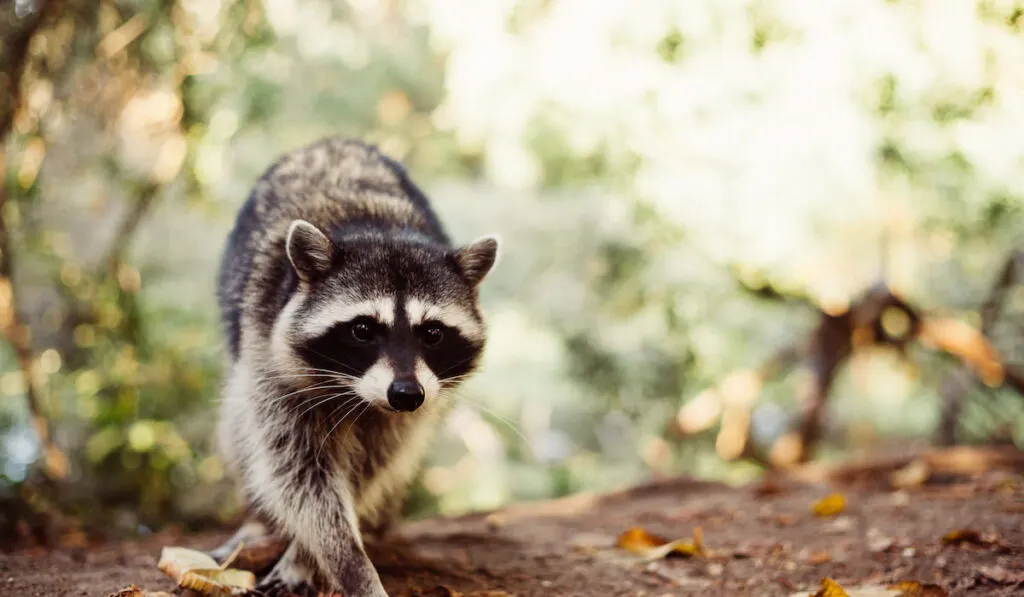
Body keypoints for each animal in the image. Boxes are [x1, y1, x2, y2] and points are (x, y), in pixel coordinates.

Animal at [209, 139, 497, 597]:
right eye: (363, 330)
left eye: (433, 333)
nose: (405, 394)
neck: (379, 230)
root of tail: (330, 141)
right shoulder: (271, 361)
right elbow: (301, 472)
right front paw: (346, 559)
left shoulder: (407, 413)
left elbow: (368, 467)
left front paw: (307, 557)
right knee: (238, 432)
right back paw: (257, 522)